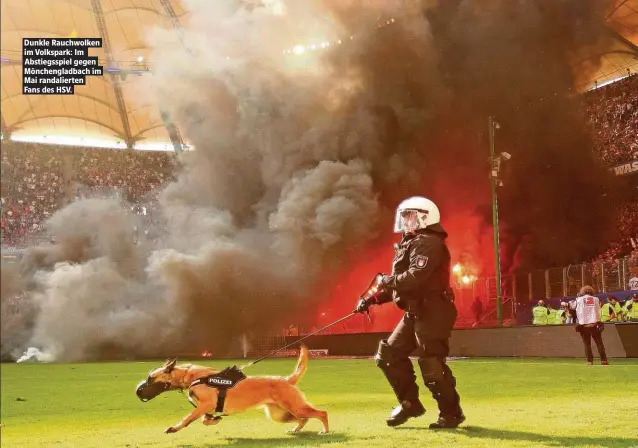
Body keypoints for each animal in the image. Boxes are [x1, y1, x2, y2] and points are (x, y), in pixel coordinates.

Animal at [135, 346, 330, 434]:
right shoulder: (206, 408)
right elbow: (205, 420)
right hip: (279, 414)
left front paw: (175, 428)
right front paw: (214, 421)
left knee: (322, 413)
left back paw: (325, 430)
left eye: (150, 378)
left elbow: (188, 418)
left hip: (295, 407)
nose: (137, 391)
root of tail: (285, 380)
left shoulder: (206, 404)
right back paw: (296, 430)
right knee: (303, 419)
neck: (189, 376)